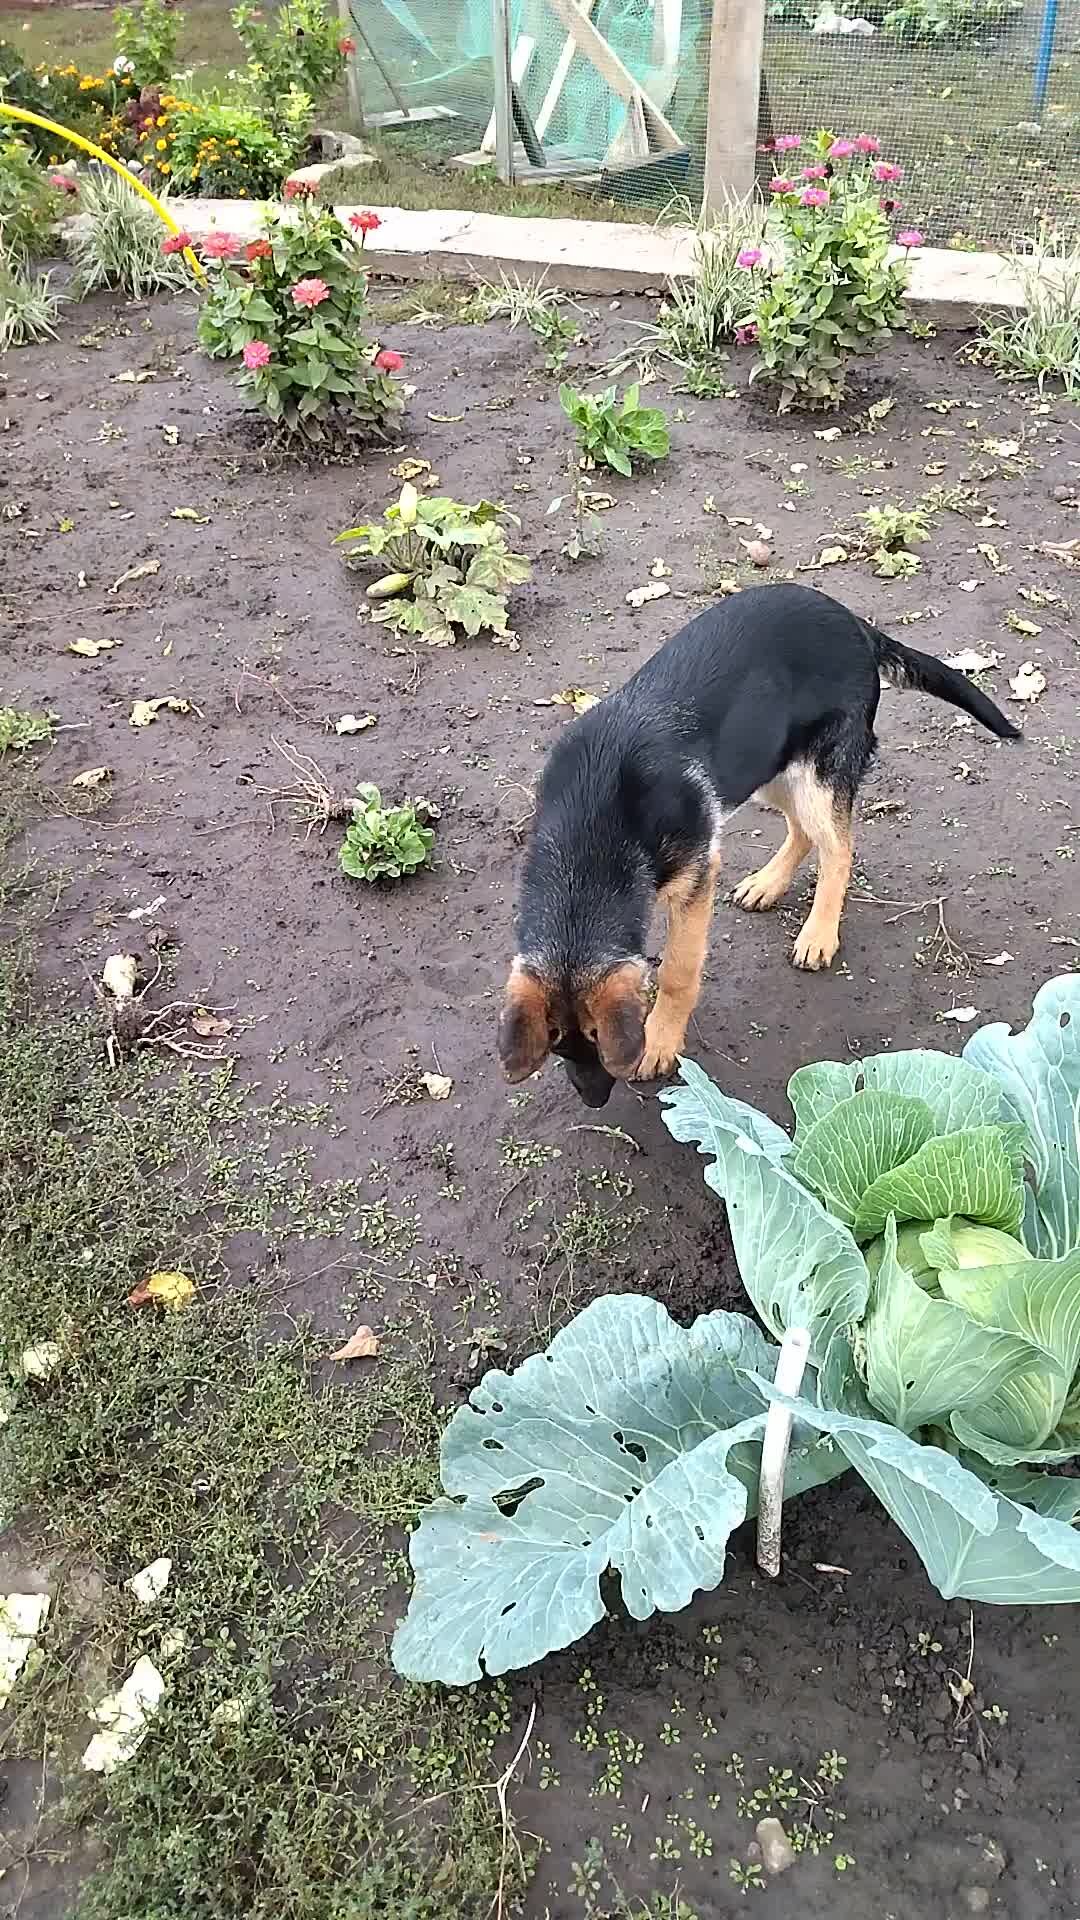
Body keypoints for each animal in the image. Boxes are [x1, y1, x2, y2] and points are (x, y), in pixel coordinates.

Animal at [495, 576, 1014, 1105]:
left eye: (599, 1041)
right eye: (559, 1046)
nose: (594, 1099)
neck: (590, 829)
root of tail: (855, 622)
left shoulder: (695, 876)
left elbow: (678, 970)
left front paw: (660, 1040)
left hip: (815, 773)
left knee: (838, 847)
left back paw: (818, 933)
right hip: (766, 762)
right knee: (803, 832)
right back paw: (767, 884)